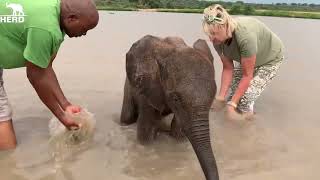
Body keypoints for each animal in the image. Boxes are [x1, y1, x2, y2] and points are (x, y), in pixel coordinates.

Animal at [121, 34, 219, 179]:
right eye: (176, 99)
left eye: (213, 96)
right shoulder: (147, 90)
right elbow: (147, 130)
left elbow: (178, 130)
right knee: (127, 118)